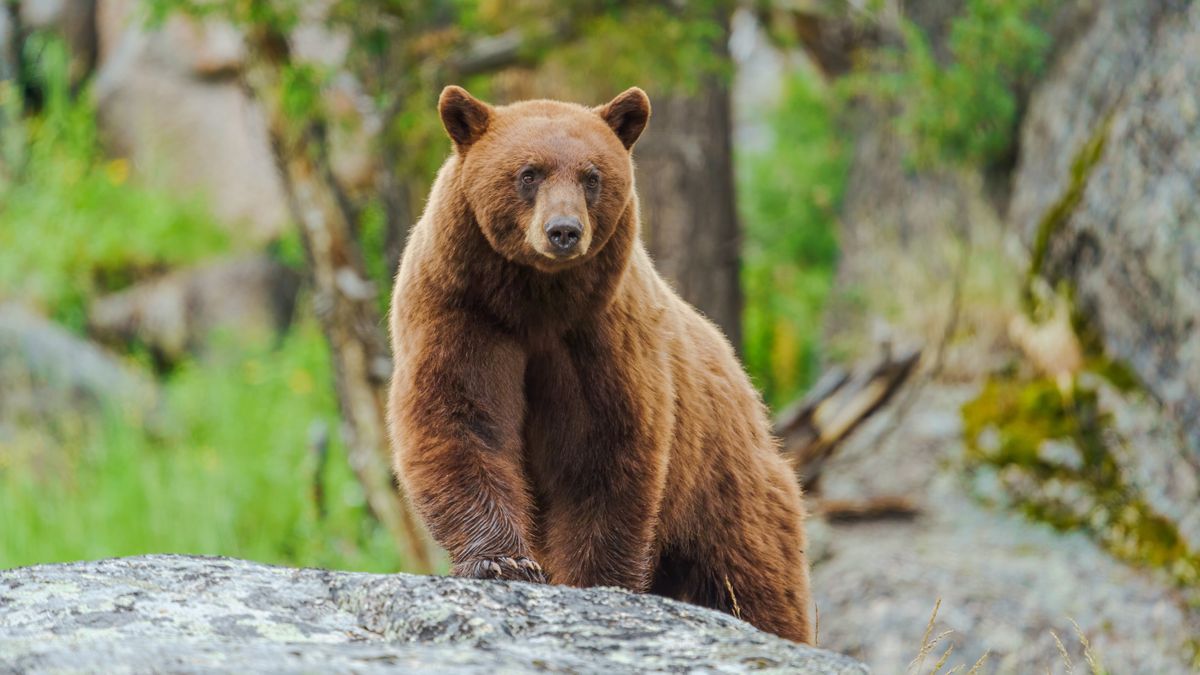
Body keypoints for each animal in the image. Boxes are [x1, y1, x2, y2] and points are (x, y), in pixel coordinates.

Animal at [388, 85, 811, 638]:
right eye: (529, 173)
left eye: (592, 176)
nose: (564, 231)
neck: (535, 301)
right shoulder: (462, 312)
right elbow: (459, 419)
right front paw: (503, 561)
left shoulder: (600, 337)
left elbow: (602, 451)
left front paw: (594, 580)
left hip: (727, 491)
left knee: (753, 583)